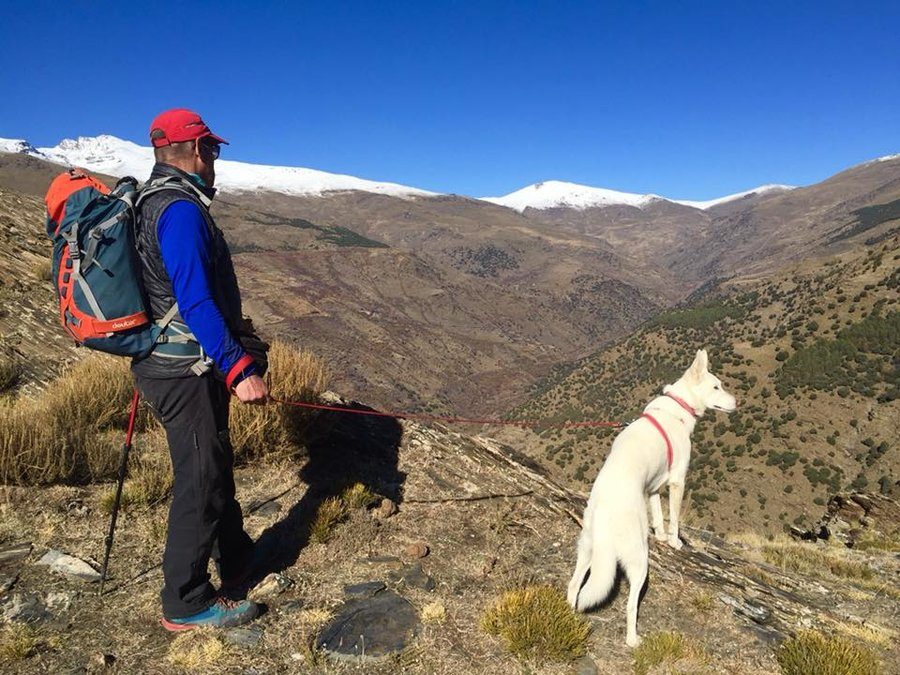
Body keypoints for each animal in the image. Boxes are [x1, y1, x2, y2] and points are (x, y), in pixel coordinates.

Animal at [568, 352, 740, 648]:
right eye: (716, 386)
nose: (737, 402)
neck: (678, 408)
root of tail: (605, 513)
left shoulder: (653, 489)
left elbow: (659, 516)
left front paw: (660, 535)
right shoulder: (677, 481)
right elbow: (674, 519)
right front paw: (674, 542)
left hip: (588, 550)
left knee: (574, 585)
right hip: (639, 559)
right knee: (630, 605)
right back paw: (633, 639)